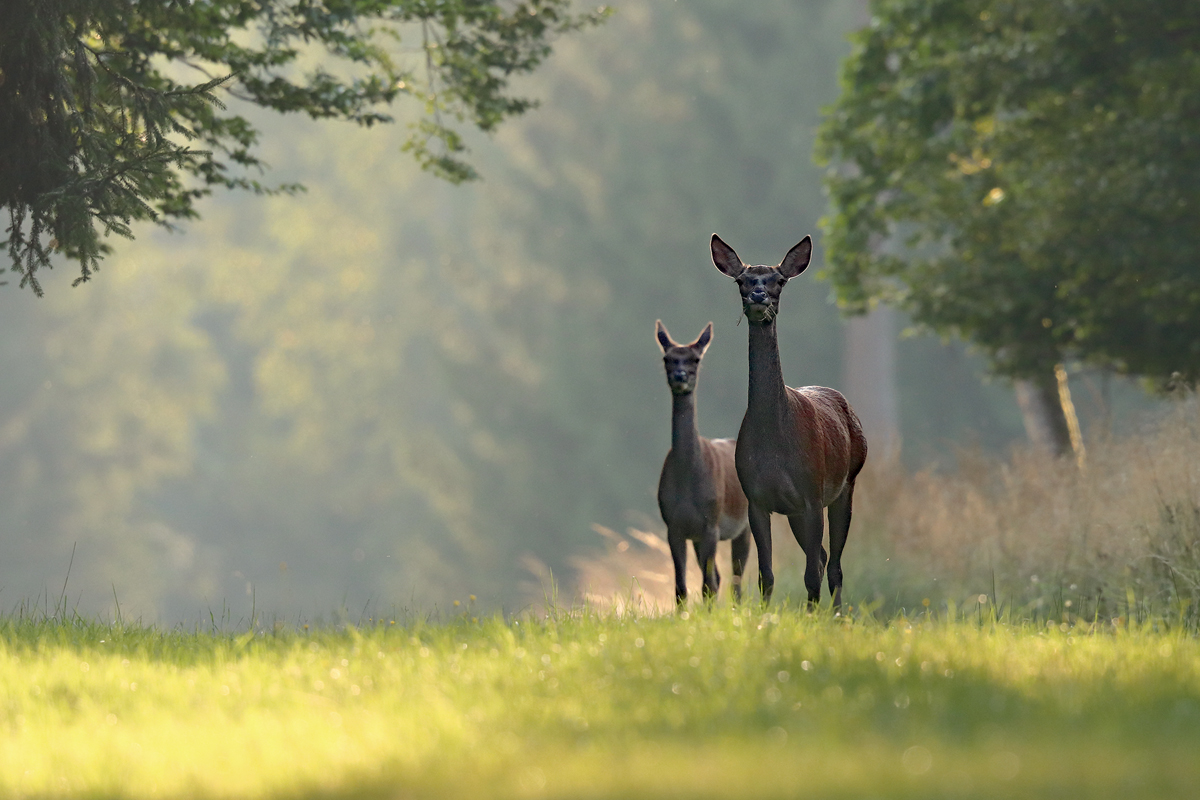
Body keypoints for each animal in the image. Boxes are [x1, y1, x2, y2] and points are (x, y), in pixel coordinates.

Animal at [657, 321, 748, 604]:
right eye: (667, 358)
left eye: (695, 359)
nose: (680, 376)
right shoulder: (674, 526)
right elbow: (681, 587)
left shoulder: (711, 524)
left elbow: (708, 585)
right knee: (720, 577)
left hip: (745, 523)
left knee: (738, 578)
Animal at [705, 232, 868, 606]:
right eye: (741, 280)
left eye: (779, 280)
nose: (758, 295)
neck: (776, 441)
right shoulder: (757, 499)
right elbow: (765, 575)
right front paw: (766, 613)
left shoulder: (812, 494)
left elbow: (810, 574)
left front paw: (811, 614)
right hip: (798, 511)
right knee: (822, 557)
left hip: (846, 484)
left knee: (833, 565)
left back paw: (836, 613)